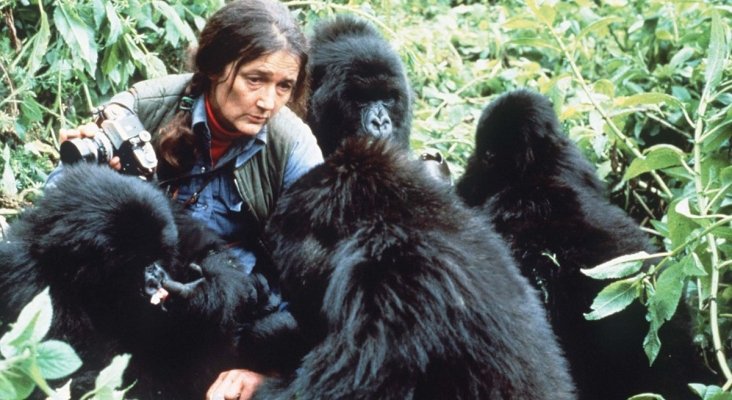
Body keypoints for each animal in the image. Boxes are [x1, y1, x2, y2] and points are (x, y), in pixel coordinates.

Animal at [0, 163, 298, 400]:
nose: (156, 278)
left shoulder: (167, 210)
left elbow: (210, 251)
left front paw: (204, 295)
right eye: (138, 265)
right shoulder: (32, 288)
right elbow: (79, 378)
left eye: (155, 257)